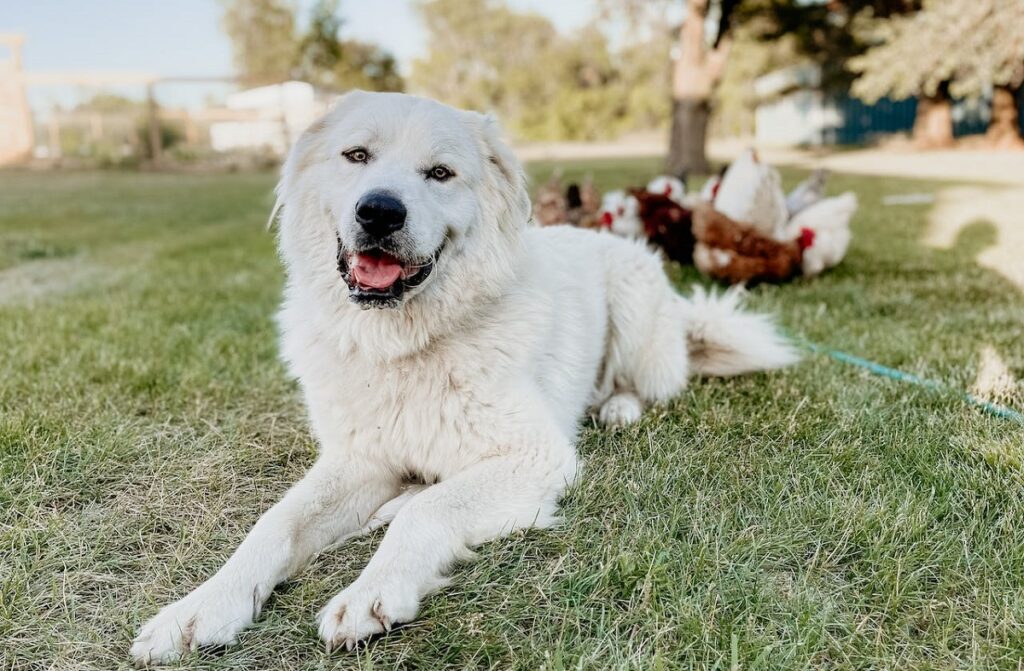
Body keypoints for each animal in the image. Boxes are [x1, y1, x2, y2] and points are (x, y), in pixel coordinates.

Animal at [130, 91, 798, 663]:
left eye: (440, 173)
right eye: (356, 156)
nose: (379, 211)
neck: (405, 346)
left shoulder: (537, 454)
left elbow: (431, 510)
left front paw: (372, 592)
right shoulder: (356, 460)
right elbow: (273, 525)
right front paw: (201, 607)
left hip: (635, 311)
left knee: (639, 387)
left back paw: (615, 409)